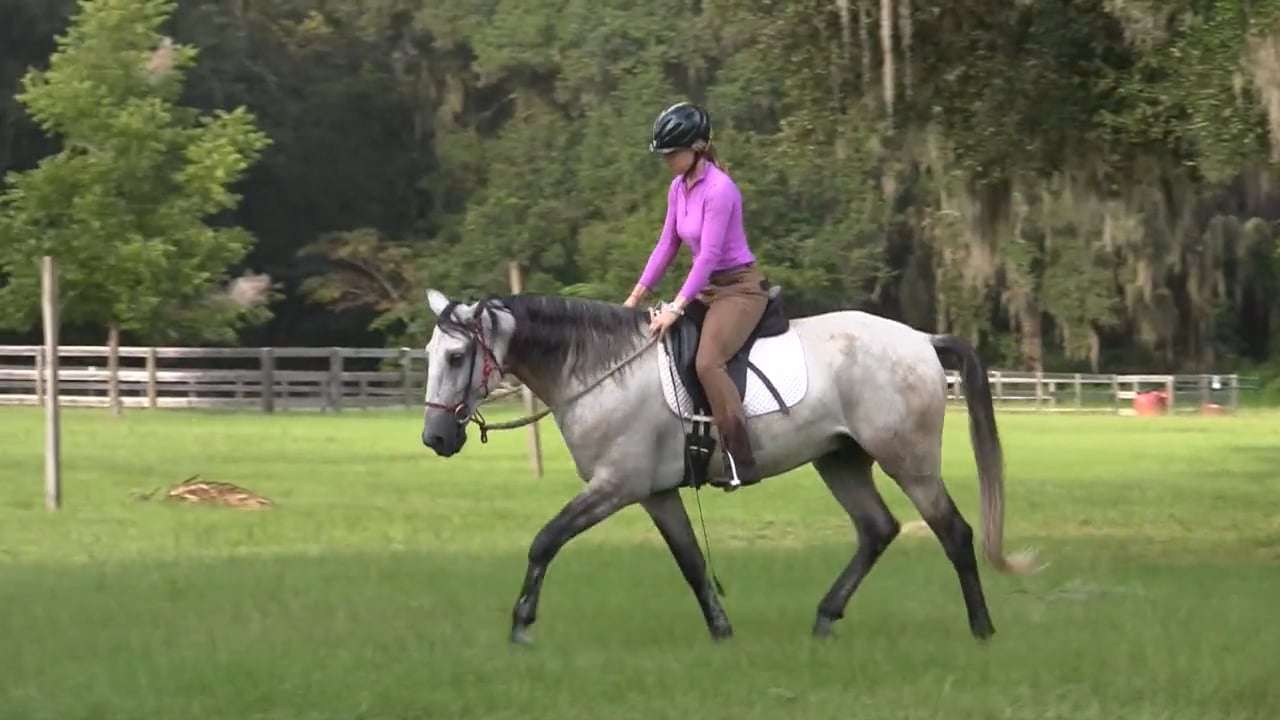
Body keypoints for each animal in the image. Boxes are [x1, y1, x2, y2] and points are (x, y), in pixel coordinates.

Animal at [418, 286, 1041, 645]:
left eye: (457, 355)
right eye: (429, 355)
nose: (435, 437)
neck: (601, 370)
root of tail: (920, 340)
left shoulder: (615, 486)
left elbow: (545, 540)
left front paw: (521, 622)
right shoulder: (654, 493)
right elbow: (692, 562)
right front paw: (721, 630)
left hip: (908, 461)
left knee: (953, 533)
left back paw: (981, 629)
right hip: (840, 460)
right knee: (877, 530)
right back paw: (826, 616)